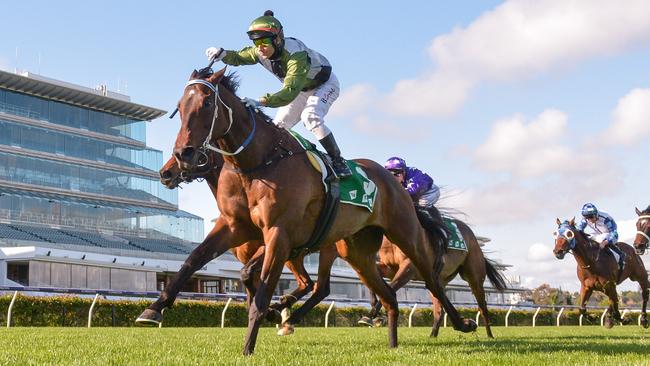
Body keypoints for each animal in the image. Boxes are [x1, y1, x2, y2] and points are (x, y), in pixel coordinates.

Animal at [134, 68, 474, 354]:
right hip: (357, 250)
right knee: (385, 293)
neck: (259, 162)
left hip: (403, 235)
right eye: (180, 106)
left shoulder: (278, 234)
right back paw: (391, 342)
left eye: (206, 103)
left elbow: (261, 291)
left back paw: (463, 323)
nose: (178, 158)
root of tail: (391, 179)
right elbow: (195, 260)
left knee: (429, 281)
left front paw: (250, 344)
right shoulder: (235, 227)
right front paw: (153, 309)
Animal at [360, 217, 506, 338]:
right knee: (439, 309)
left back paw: (489, 335)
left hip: (474, 278)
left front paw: (371, 316)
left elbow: (390, 288)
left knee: (483, 307)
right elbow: (372, 281)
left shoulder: (409, 267)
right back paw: (433, 335)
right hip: (438, 280)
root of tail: (473, 237)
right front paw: (375, 315)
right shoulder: (390, 268)